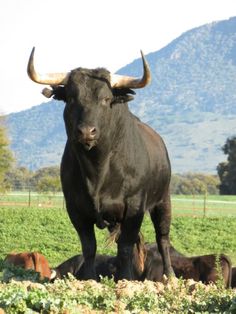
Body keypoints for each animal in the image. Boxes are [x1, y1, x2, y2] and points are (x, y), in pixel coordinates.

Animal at [27, 48, 173, 280]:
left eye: (106, 99)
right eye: (71, 98)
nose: (86, 131)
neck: (97, 170)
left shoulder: (134, 206)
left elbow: (125, 246)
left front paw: (126, 278)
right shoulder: (75, 208)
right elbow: (89, 246)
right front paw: (89, 277)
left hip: (163, 201)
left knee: (163, 238)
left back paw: (170, 275)